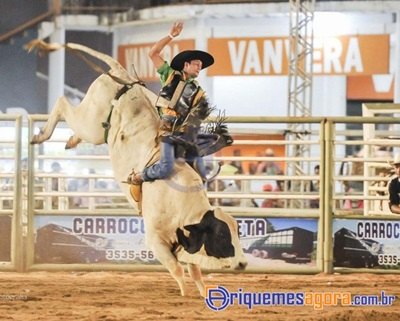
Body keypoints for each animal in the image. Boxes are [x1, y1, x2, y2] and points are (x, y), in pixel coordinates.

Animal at [26, 39, 247, 296]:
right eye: (221, 234)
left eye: (237, 231)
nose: (243, 263)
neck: (182, 206)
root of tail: (123, 76)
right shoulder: (156, 241)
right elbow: (178, 270)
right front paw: (184, 294)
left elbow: (195, 272)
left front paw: (202, 293)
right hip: (91, 121)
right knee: (63, 103)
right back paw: (40, 136)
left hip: (94, 129)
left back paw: (70, 141)